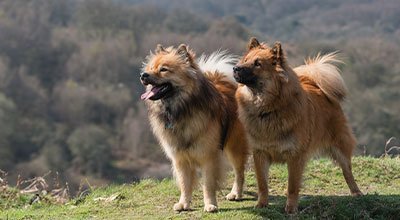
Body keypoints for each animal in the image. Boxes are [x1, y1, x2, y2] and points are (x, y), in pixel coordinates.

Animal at [140, 44, 247, 211]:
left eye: (163, 69)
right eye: (151, 68)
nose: (143, 75)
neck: (180, 110)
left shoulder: (208, 157)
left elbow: (208, 184)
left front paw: (210, 204)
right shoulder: (180, 158)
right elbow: (185, 184)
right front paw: (183, 203)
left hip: (235, 146)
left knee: (239, 172)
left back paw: (236, 193)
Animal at [234, 37, 362, 213]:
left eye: (257, 64)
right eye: (245, 60)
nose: (235, 68)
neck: (268, 109)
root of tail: (315, 84)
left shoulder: (295, 155)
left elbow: (293, 186)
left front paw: (291, 208)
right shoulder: (260, 153)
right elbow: (263, 184)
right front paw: (261, 204)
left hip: (340, 147)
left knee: (347, 171)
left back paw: (356, 192)